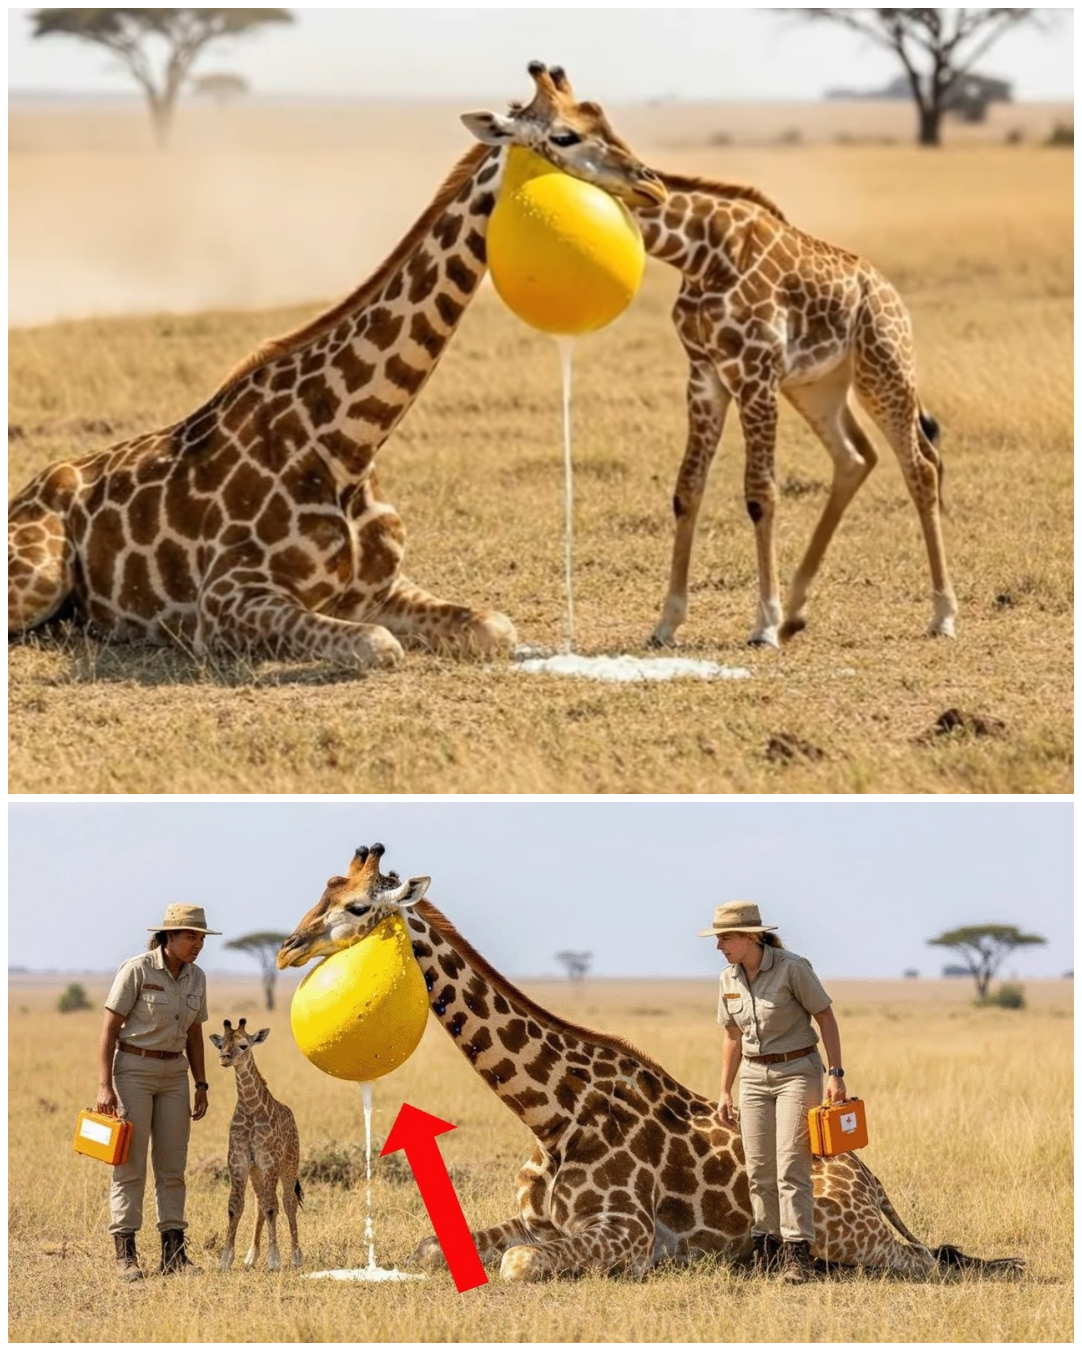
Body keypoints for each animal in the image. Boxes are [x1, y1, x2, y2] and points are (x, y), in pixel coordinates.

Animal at [7, 64, 666, 668]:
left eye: (604, 120)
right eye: (564, 137)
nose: (653, 186)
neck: (349, 441)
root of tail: (29, 491)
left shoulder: (379, 587)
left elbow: (494, 626)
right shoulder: (224, 600)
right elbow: (379, 646)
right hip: (37, 577)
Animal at [208, 1018, 304, 1271]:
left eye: (244, 1045)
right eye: (221, 1044)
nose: (224, 1058)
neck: (251, 1108)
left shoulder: (269, 1161)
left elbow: (273, 1207)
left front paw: (274, 1259)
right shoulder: (239, 1162)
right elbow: (235, 1207)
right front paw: (226, 1259)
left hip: (290, 1163)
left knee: (287, 1201)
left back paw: (296, 1255)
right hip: (256, 1172)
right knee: (259, 1203)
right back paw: (252, 1255)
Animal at [277, 844, 1022, 1283]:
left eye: (356, 904)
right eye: (321, 891)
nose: (287, 947)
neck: (551, 1111)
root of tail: (868, 1176)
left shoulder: (628, 1231)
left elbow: (518, 1265)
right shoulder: (544, 1219)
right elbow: (431, 1248)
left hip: (852, 1230)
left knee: (925, 1259)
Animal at [467, 64, 957, 649]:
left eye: (597, 123)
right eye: (563, 136)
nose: (648, 183)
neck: (700, 254)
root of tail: (886, 290)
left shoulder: (755, 374)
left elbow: (760, 493)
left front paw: (762, 624)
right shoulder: (705, 376)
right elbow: (687, 489)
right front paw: (667, 622)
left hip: (884, 369)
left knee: (920, 465)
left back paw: (942, 614)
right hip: (817, 386)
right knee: (855, 457)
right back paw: (798, 609)